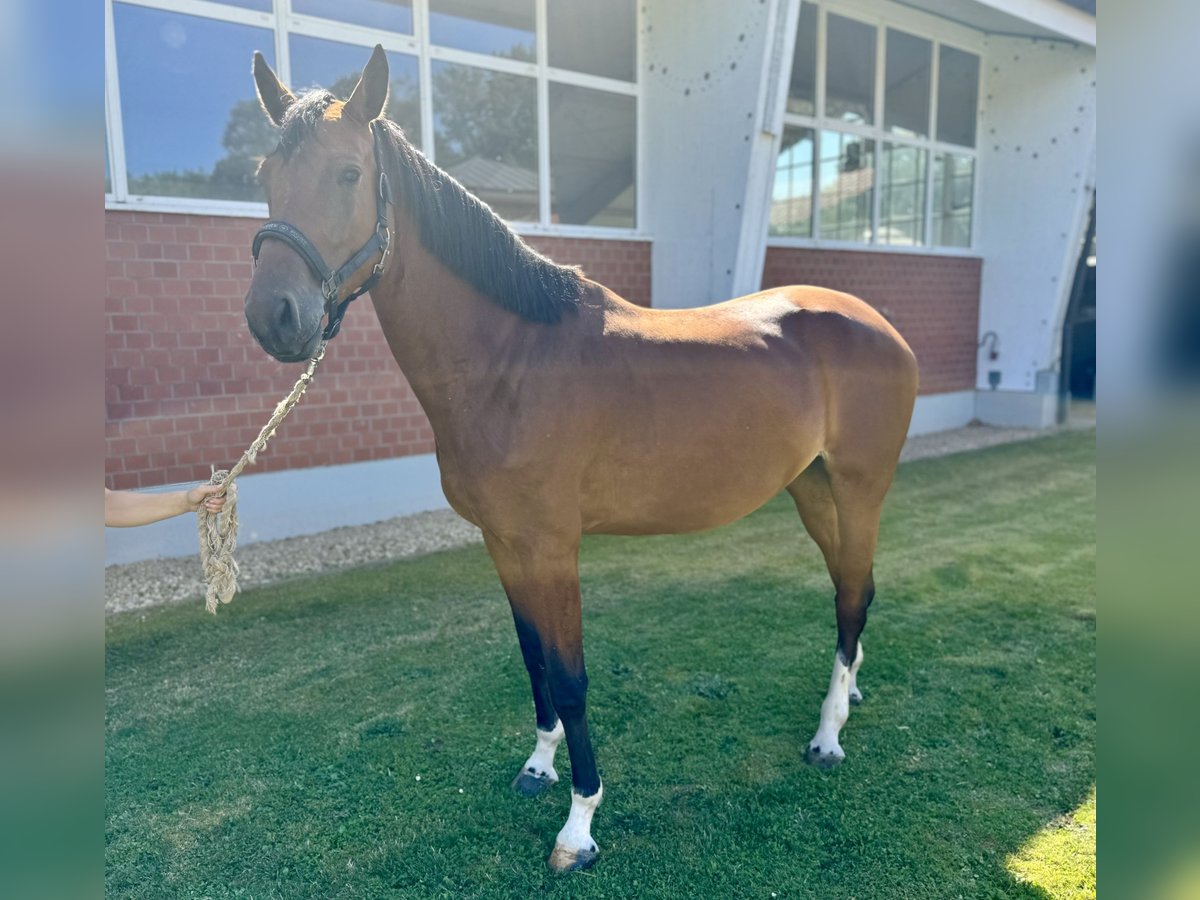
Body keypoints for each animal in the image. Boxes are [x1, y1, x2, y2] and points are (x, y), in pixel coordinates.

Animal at [243, 45, 916, 868]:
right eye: (265, 177)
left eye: (346, 173)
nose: (274, 317)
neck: (513, 360)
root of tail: (878, 323)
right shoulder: (503, 544)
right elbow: (533, 659)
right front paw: (538, 765)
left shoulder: (552, 546)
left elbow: (569, 677)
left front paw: (580, 823)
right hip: (813, 490)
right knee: (854, 590)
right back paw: (847, 694)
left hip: (858, 489)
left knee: (852, 595)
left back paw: (827, 736)